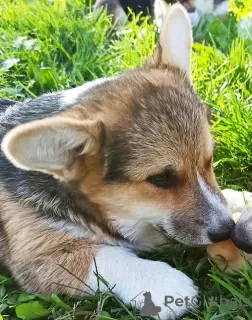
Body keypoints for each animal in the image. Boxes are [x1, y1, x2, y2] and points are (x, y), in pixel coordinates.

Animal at [0, 3, 249, 320]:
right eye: (160, 179)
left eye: (210, 159)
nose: (226, 230)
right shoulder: (37, 255)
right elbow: (104, 256)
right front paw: (162, 283)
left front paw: (240, 199)